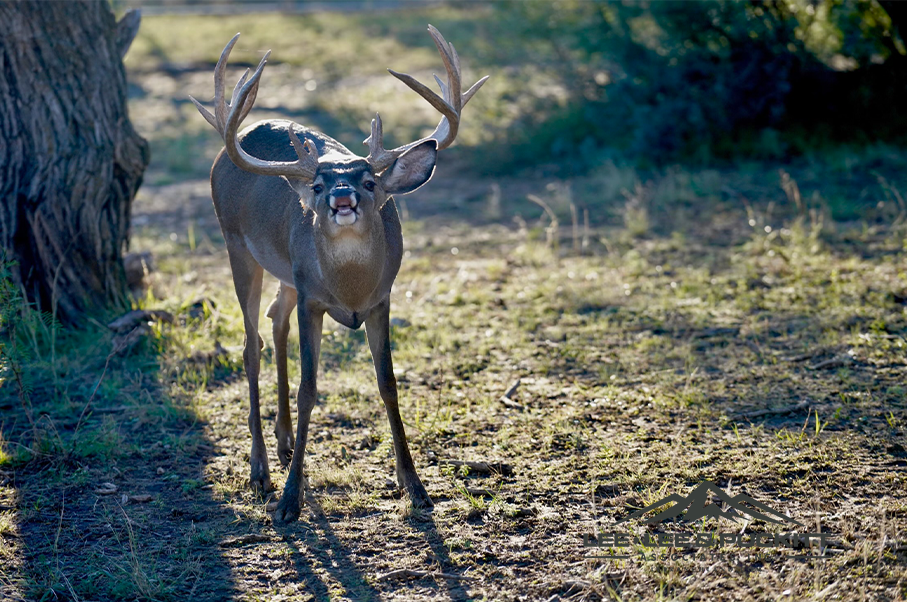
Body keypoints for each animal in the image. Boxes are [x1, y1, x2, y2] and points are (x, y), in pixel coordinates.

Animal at [190, 25, 490, 516]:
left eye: (369, 181)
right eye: (317, 184)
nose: (342, 197)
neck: (350, 290)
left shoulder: (381, 298)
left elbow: (388, 383)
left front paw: (415, 487)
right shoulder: (314, 298)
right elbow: (310, 389)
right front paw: (290, 499)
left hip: (288, 271)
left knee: (275, 318)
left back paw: (284, 442)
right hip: (236, 244)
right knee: (251, 344)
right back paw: (260, 469)